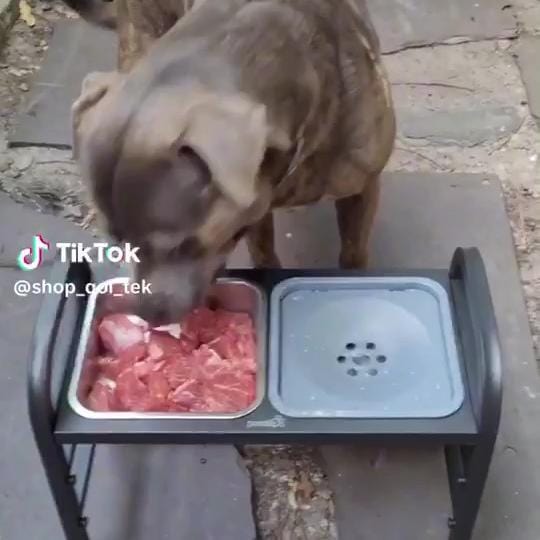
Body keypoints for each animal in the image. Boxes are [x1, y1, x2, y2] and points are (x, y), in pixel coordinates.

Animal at [69, 0, 396, 325]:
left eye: (181, 246)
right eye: (118, 242)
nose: (145, 315)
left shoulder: (365, 187)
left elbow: (353, 251)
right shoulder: (258, 207)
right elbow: (263, 253)